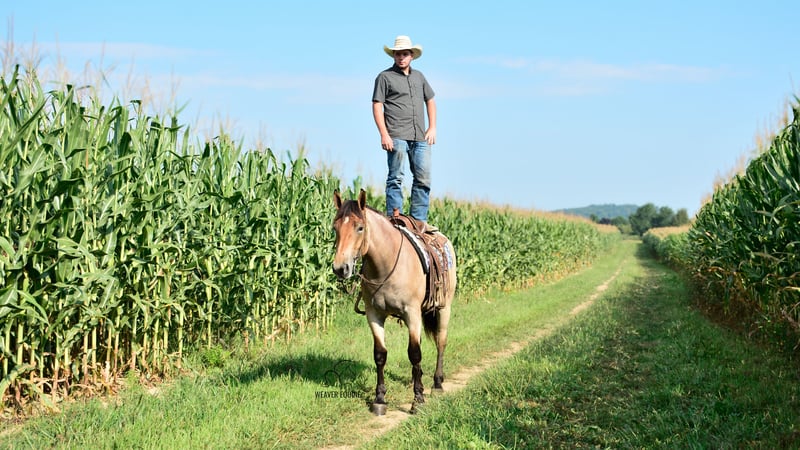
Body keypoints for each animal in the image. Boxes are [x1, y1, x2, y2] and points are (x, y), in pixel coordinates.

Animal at [332, 189, 457, 415]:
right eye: (335, 227)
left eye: (360, 227)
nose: (340, 268)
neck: (386, 264)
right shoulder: (374, 314)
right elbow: (380, 354)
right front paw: (380, 399)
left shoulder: (412, 313)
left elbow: (414, 353)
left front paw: (418, 399)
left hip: (444, 308)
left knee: (441, 342)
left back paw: (437, 384)